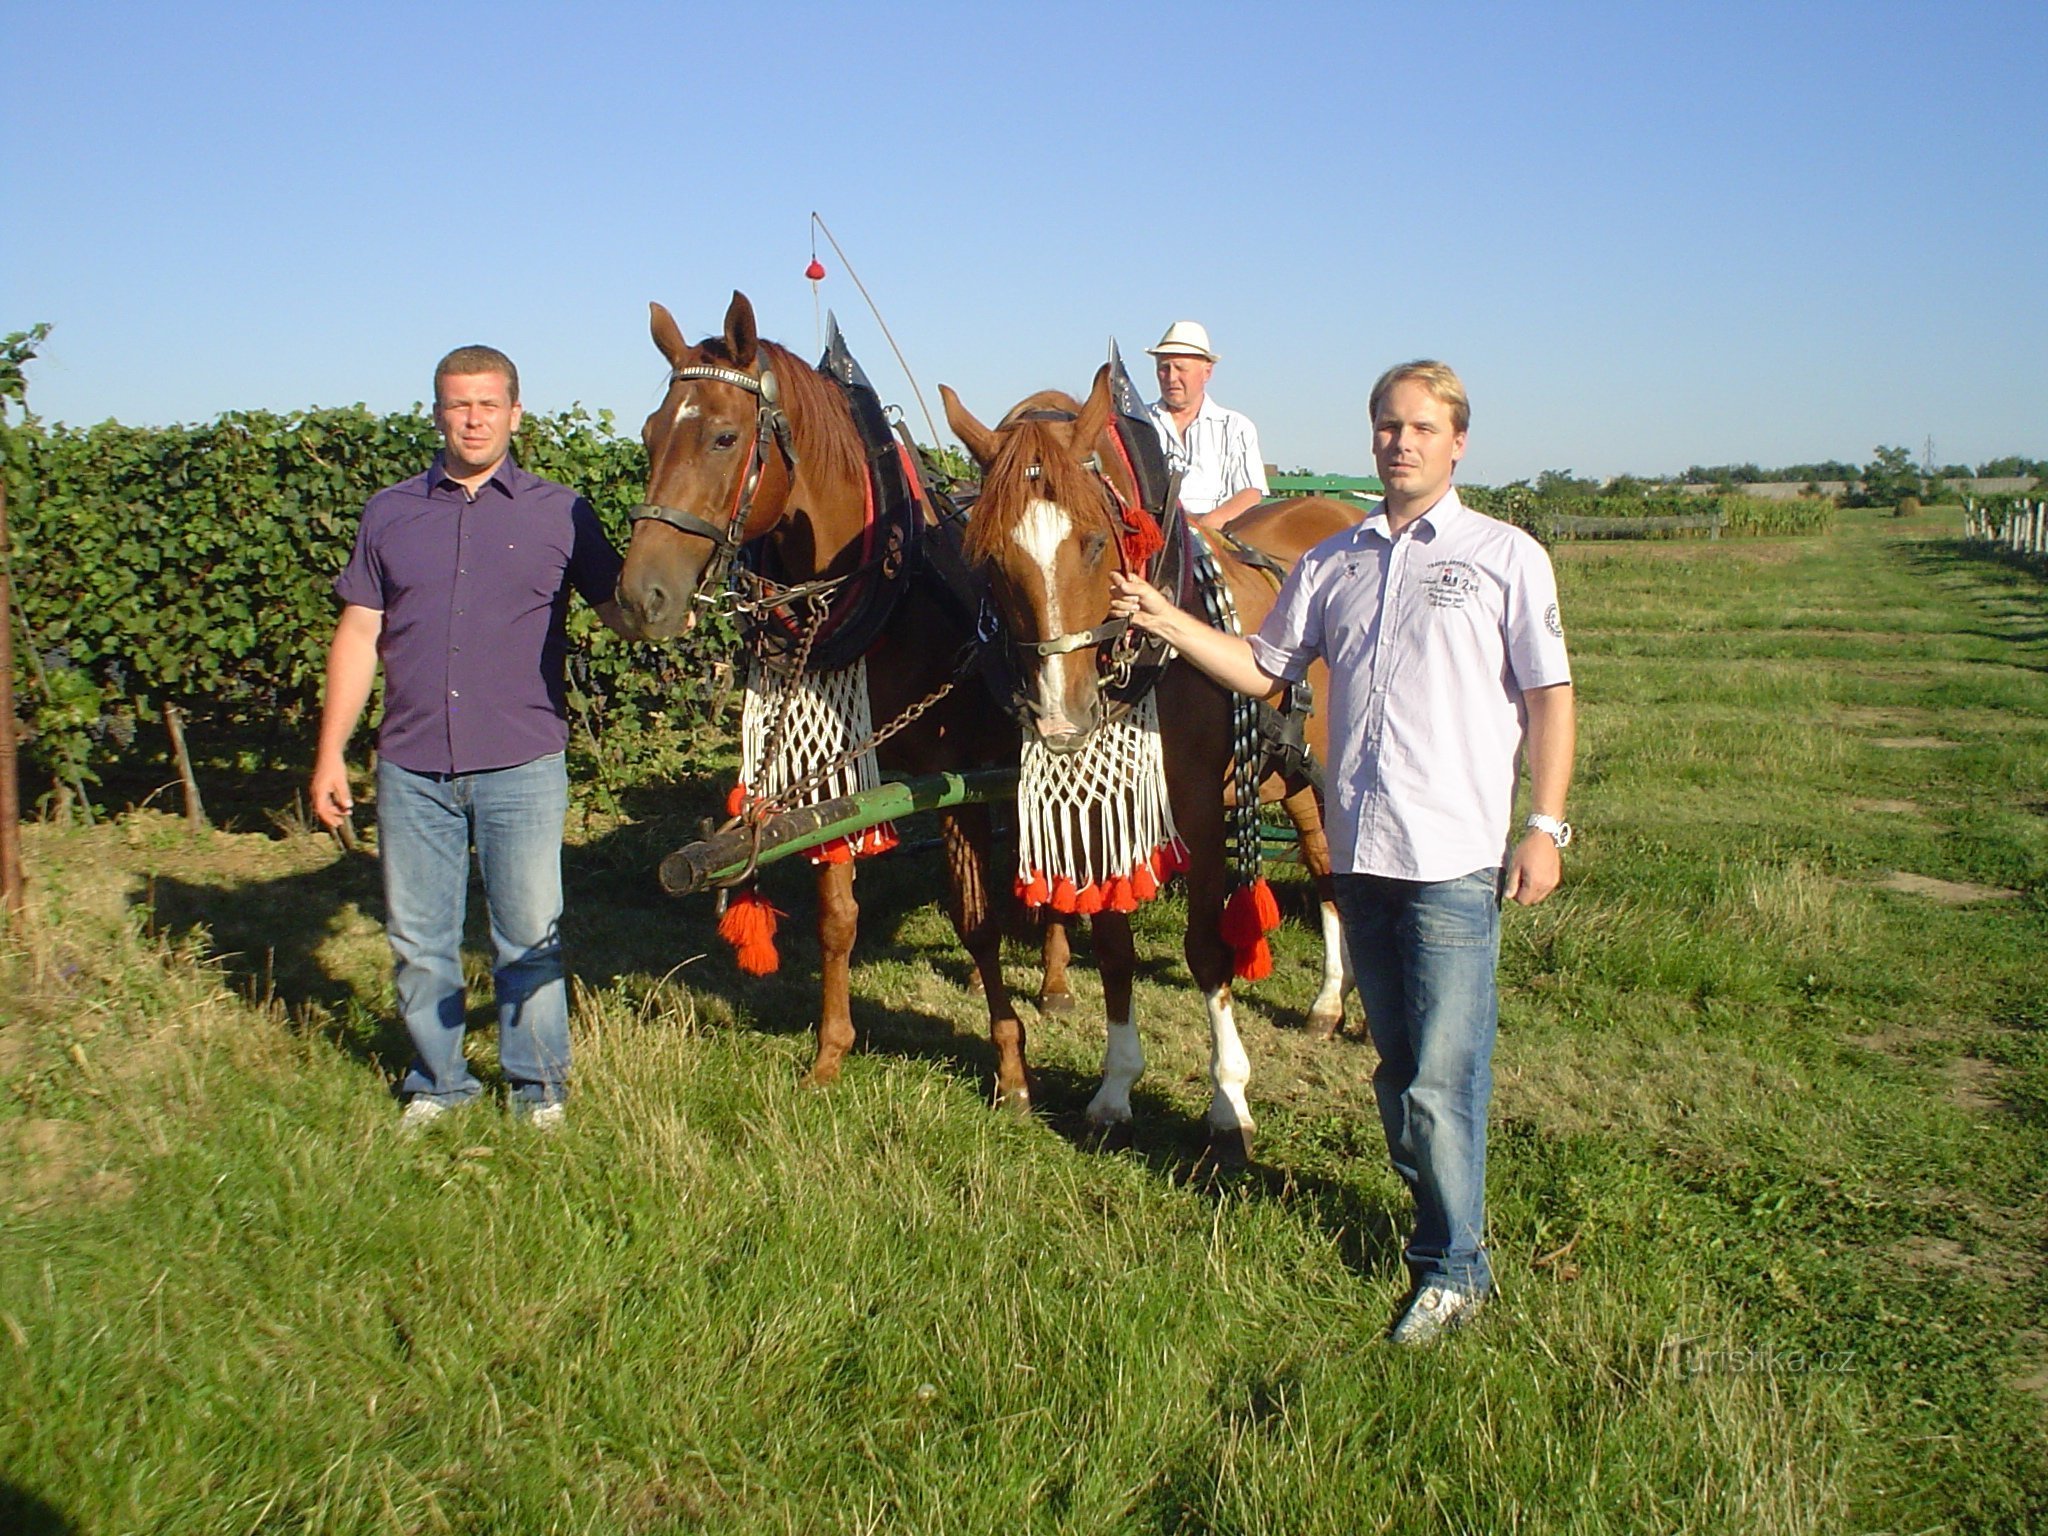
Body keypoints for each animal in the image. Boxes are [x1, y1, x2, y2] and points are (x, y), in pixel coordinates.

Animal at [618, 290, 1073, 1105]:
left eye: (725, 437)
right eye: (647, 434)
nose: (642, 599)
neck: (885, 589)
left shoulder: (958, 778)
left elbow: (977, 919)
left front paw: (1012, 1067)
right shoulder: (827, 766)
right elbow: (837, 916)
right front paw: (830, 1052)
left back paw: (1055, 980)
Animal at [937, 372, 1359, 1163]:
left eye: (1097, 541)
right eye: (990, 559)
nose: (1062, 716)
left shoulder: (1199, 810)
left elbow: (1207, 950)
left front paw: (1228, 1102)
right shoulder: (1099, 809)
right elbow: (1113, 950)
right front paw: (1115, 1089)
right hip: (1290, 770)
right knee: (1321, 861)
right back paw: (1327, 1004)